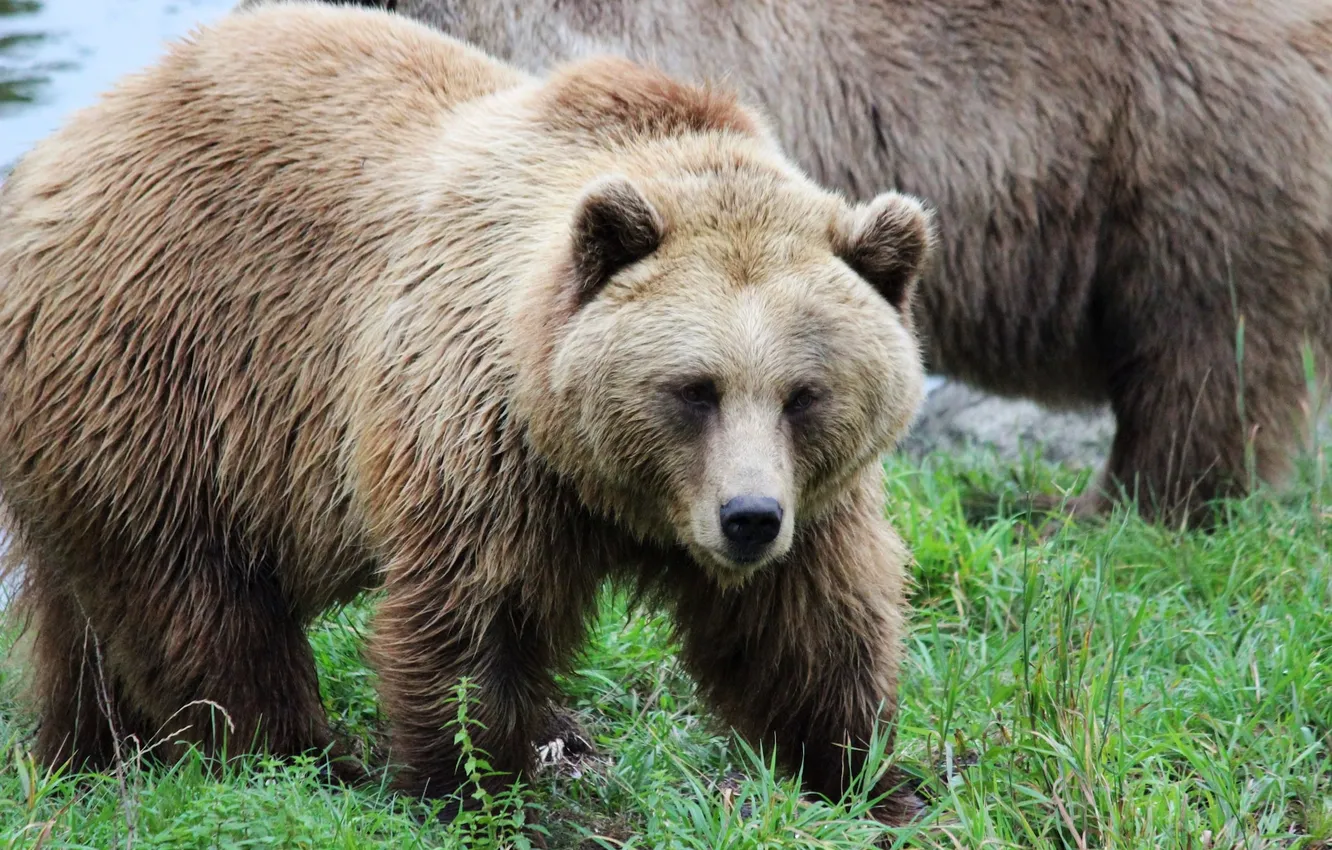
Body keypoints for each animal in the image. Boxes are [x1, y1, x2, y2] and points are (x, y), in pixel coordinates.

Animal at [0, 0, 934, 821]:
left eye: (803, 394)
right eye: (693, 388)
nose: (748, 518)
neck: (609, 489)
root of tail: (61, 146)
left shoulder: (814, 501)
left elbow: (809, 630)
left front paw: (867, 779)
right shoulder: (485, 438)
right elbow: (476, 618)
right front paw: (469, 784)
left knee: (88, 627)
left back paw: (90, 752)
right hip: (158, 370)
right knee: (197, 603)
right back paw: (300, 754)